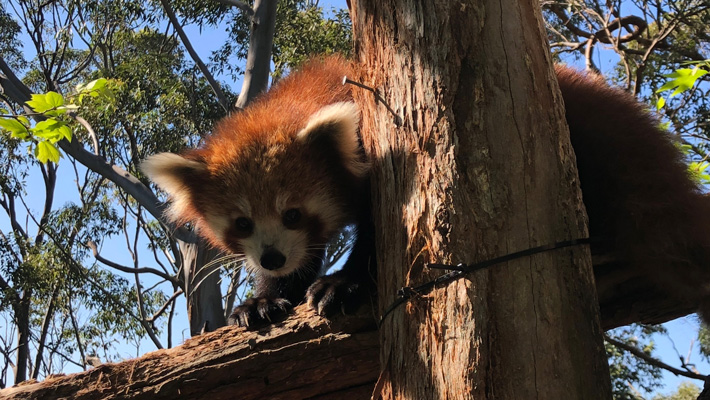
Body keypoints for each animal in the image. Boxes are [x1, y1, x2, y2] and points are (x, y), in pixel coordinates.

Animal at [143, 54, 710, 326]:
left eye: (293, 214)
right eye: (242, 223)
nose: (272, 258)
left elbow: (379, 235)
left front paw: (342, 285)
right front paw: (264, 300)